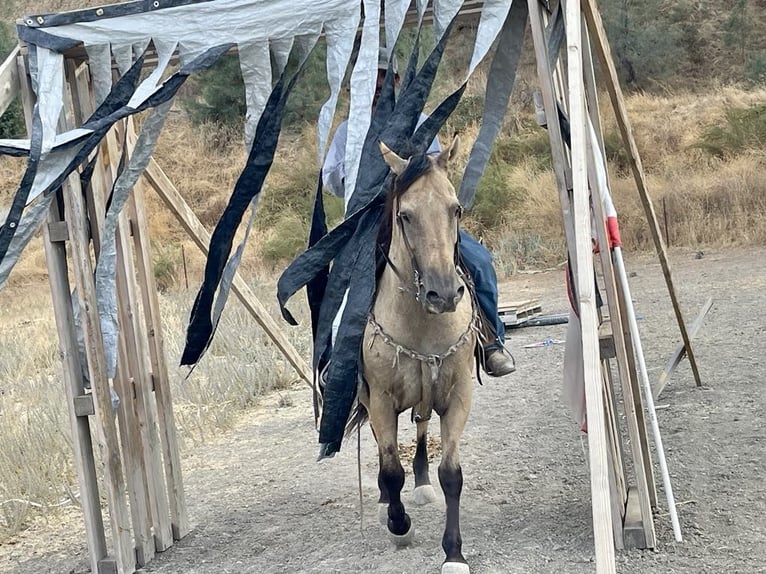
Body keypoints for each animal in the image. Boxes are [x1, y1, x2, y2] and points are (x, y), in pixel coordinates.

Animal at [353, 136, 478, 574]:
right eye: (405, 216)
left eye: (455, 208)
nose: (444, 294)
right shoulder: (380, 401)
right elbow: (391, 469)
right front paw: (399, 525)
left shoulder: (458, 396)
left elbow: (451, 474)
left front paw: (454, 553)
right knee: (382, 451)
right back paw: (383, 502)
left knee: (423, 429)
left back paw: (421, 483)